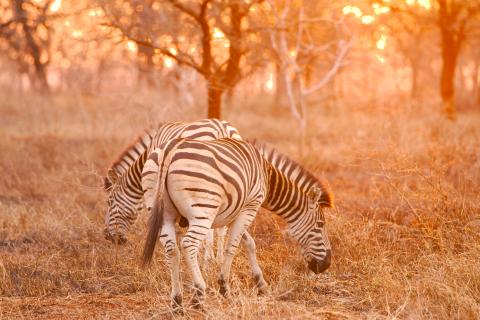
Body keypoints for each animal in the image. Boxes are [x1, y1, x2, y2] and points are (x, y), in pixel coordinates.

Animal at [141, 138, 332, 310]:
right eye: (320, 225)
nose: (326, 264)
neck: (266, 175)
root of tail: (169, 150)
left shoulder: (235, 211)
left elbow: (249, 243)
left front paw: (261, 284)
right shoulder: (250, 206)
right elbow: (232, 247)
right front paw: (224, 287)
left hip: (162, 213)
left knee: (172, 250)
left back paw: (177, 302)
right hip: (202, 212)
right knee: (188, 245)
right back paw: (198, 296)